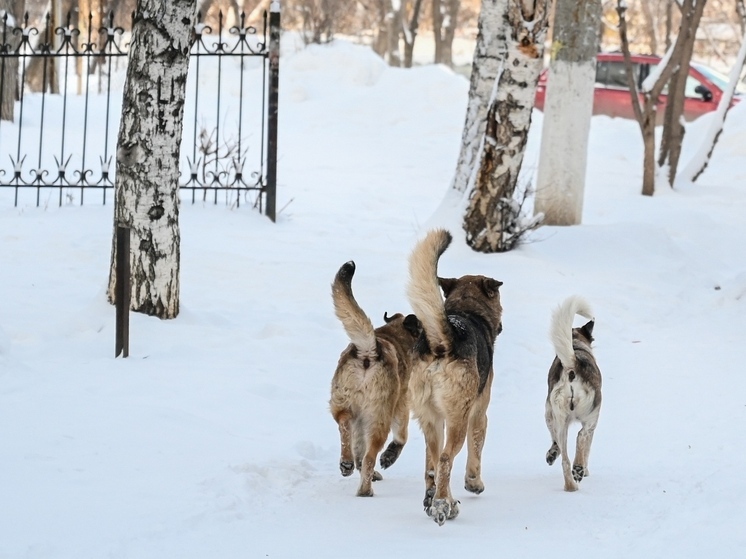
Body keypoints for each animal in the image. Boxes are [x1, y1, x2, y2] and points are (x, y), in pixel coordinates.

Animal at [328, 260, 422, 496]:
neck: (393, 335)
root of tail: (368, 351)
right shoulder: (401, 402)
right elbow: (402, 435)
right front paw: (389, 456)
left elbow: (358, 447)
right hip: (379, 416)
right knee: (371, 455)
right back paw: (365, 490)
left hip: (343, 402)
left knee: (345, 426)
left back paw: (347, 463)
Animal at [404, 229, 502, 524]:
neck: (465, 311)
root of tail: (441, 343)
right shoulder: (479, 414)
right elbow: (476, 451)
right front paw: (474, 483)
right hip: (458, 419)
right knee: (447, 458)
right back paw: (442, 505)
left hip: (431, 419)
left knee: (434, 464)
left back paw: (436, 500)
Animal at [544, 296, 600, 492]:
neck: (576, 344)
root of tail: (572, 366)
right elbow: (587, 445)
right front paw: (586, 469)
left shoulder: (549, 414)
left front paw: (552, 454)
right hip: (591, 416)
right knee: (581, 437)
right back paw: (579, 469)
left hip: (560, 419)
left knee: (565, 460)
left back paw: (570, 485)